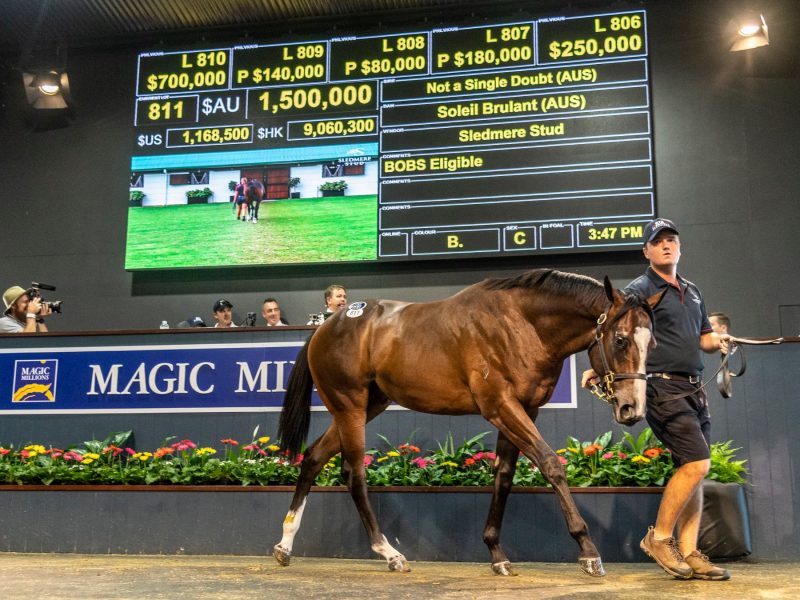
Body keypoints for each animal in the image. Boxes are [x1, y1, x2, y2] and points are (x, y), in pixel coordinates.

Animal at [273, 268, 660, 577]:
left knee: (313, 458)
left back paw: (285, 544)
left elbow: (503, 476)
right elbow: (551, 464)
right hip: (350, 406)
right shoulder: (500, 406)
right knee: (353, 474)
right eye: (620, 340)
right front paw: (588, 551)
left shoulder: (524, 409)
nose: (633, 409)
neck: (521, 324)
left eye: (652, 343)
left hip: (366, 406)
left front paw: (496, 553)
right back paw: (390, 554)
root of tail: (326, 324)